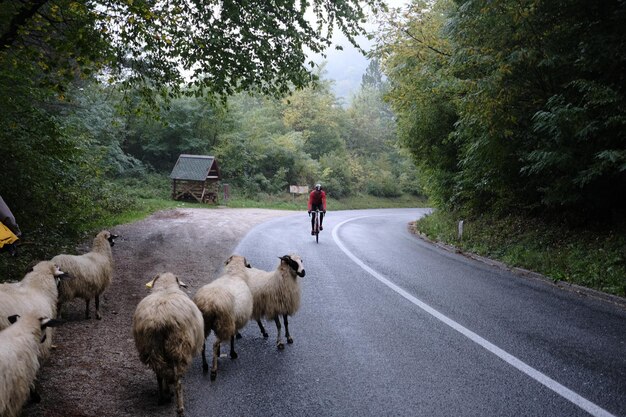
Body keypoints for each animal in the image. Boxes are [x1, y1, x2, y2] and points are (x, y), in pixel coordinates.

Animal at [133, 270, 204, 412]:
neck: (165, 287)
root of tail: (161, 320)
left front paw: (166, 392)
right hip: (178, 346)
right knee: (177, 380)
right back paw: (179, 408)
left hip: (153, 348)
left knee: (159, 374)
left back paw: (162, 397)